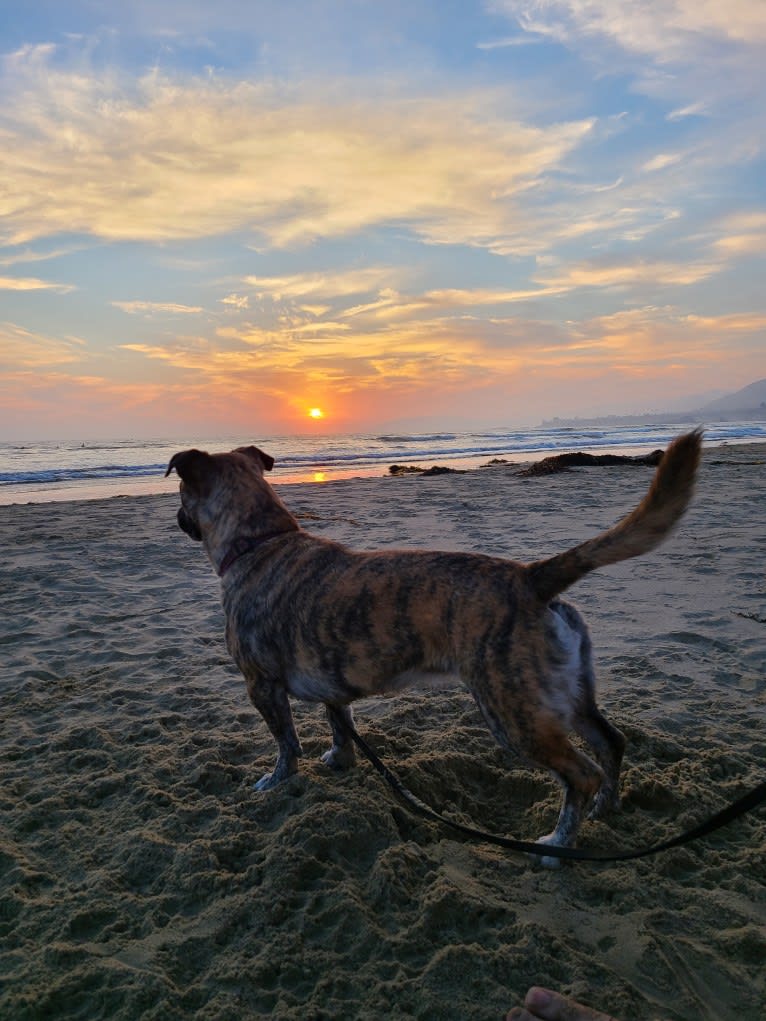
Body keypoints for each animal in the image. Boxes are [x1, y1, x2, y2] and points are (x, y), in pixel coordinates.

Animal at [166, 426, 702, 865]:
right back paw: (606, 807)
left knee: (581, 774)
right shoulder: (331, 684)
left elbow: (286, 743)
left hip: (514, 712)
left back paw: (558, 845)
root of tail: (529, 579)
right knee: (611, 743)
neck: (259, 540)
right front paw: (341, 760)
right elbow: (340, 723)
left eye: (180, 490)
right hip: (568, 694)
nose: (175, 516)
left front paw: (279, 782)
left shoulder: (262, 686)